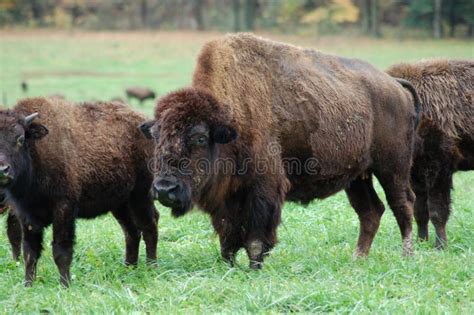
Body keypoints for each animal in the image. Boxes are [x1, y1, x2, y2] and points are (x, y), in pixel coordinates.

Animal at [0, 97, 159, 288]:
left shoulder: (64, 209)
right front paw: (28, 285)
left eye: (20, 139)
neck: (37, 151)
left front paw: (65, 285)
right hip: (120, 204)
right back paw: (129, 268)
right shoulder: (26, 215)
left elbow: (61, 250)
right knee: (131, 232)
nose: (3, 170)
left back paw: (151, 268)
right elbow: (30, 253)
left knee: (149, 226)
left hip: (141, 196)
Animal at [141, 32, 418, 270]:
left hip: (393, 168)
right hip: (357, 176)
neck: (230, 120)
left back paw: (406, 256)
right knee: (370, 211)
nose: (164, 189)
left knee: (402, 205)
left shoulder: (263, 189)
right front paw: (230, 266)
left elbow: (255, 239)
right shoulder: (226, 200)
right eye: (156, 135)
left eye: (199, 138)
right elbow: (227, 239)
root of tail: (394, 84)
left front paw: (254, 268)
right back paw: (358, 259)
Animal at [386, 59, 472, 249]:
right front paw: (421, 242)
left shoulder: (438, 172)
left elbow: (437, 210)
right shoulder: (416, 175)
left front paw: (440, 246)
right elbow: (420, 211)